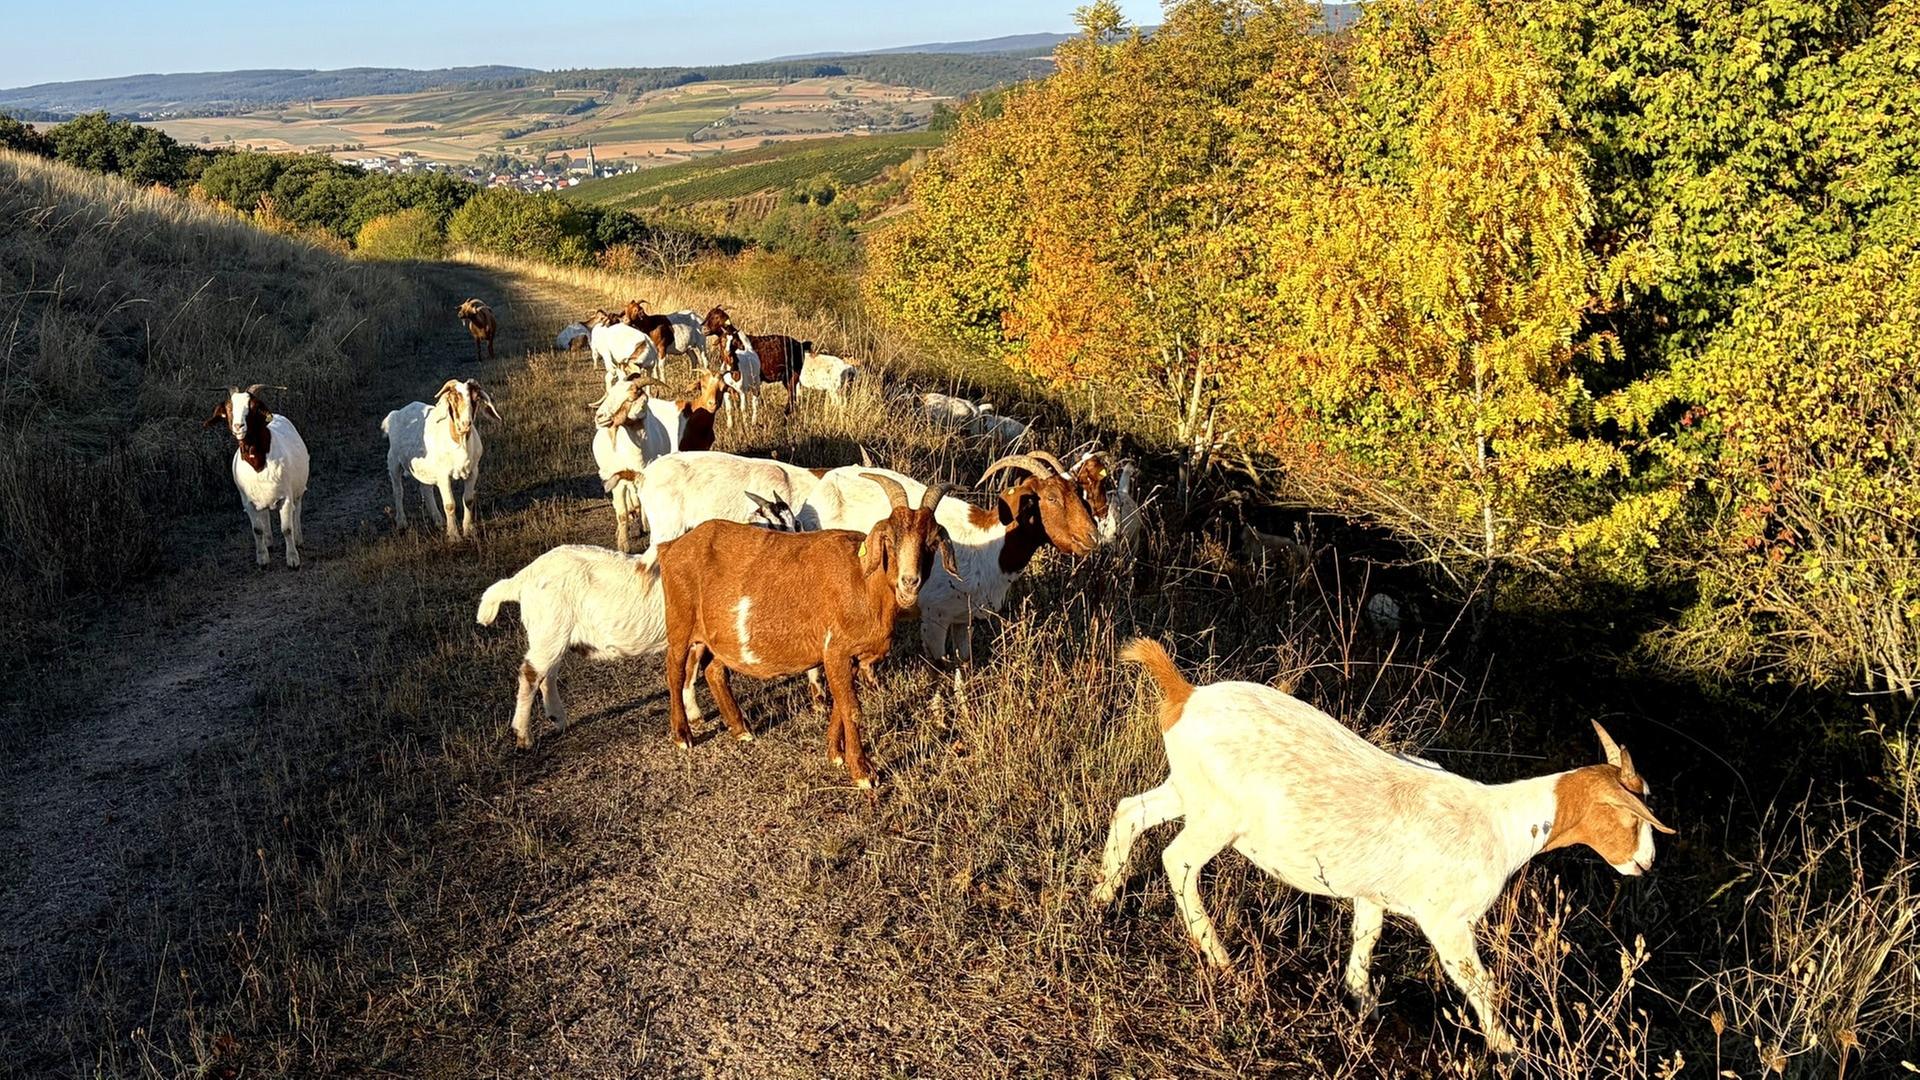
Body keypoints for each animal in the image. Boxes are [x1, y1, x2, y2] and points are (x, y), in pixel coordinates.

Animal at [204, 385, 308, 568]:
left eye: (252, 407)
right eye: (229, 408)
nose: (238, 426)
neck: (258, 462)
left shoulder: (286, 497)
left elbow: (286, 529)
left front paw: (293, 559)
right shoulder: (248, 501)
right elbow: (257, 530)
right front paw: (262, 559)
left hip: (297, 490)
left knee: (297, 511)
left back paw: (298, 540)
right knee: (265, 515)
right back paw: (269, 542)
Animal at [383, 378, 502, 539]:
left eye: (476, 398)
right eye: (453, 398)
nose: (465, 424)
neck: (460, 443)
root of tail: (397, 413)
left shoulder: (473, 470)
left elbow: (468, 500)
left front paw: (468, 530)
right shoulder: (443, 475)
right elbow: (450, 505)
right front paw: (454, 536)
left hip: (425, 468)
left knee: (425, 489)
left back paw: (438, 521)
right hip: (393, 461)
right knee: (398, 490)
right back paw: (402, 523)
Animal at [657, 473, 959, 786]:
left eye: (932, 541)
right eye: (888, 538)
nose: (909, 581)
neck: (864, 579)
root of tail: (672, 547)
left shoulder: (850, 658)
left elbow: (840, 706)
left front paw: (835, 755)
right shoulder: (836, 651)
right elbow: (852, 709)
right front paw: (863, 772)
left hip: (721, 636)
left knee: (714, 670)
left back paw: (741, 729)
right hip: (680, 621)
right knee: (675, 670)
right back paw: (682, 735)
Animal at [798, 451, 1099, 662]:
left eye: (1079, 493)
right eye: (1051, 498)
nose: (1092, 537)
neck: (989, 549)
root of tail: (821, 484)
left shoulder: (963, 619)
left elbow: (964, 662)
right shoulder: (935, 618)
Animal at [1094, 639, 1674, 1053]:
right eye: (1632, 815)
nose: (1645, 863)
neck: (1502, 825)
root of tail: (1186, 696)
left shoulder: (1373, 894)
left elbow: (1366, 938)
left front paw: (1361, 999)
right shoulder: (1448, 920)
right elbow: (1480, 983)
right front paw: (1507, 1047)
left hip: (1187, 788)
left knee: (1129, 812)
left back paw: (1103, 896)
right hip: (1220, 814)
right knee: (1178, 860)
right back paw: (1219, 957)